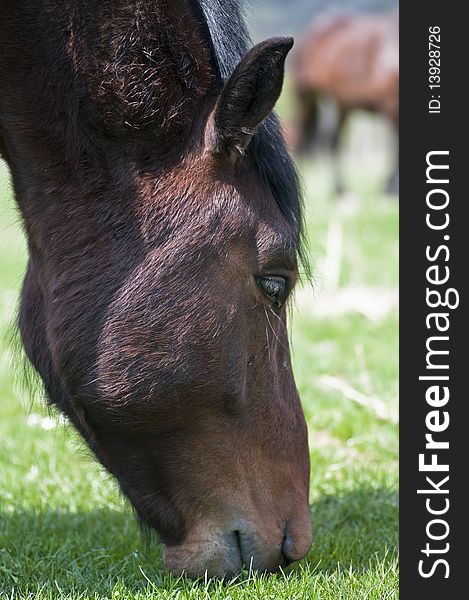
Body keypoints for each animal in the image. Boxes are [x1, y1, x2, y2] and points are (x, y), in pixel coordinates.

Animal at [292, 10, 398, 195]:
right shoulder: (390, 104)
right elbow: (393, 146)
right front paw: (391, 186)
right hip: (305, 96)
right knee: (303, 134)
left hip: (342, 105)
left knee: (333, 141)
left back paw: (339, 187)